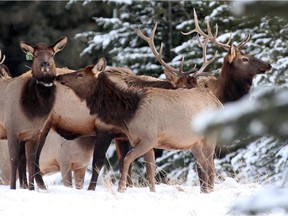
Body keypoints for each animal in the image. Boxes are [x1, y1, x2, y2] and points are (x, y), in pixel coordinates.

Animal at [0, 36, 67, 189]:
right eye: (35, 55)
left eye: (52, 54)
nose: (45, 64)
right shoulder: (11, 129)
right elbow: (14, 160)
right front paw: (13, 188)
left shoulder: (33, 134)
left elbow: (31, 161)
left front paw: (30, 188)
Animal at [56, 57, 223, 192]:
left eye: (80, 74)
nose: (59, 76)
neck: (128, 114)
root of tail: (218, 102)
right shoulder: (140, 140)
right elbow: (150, 168)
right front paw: (152, 192)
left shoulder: (148, 138)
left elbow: (127, 159)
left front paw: (121, 188)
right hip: (194, 144)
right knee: (204, 164)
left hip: (209, 139)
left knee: (210, 165)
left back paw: (210, 191)